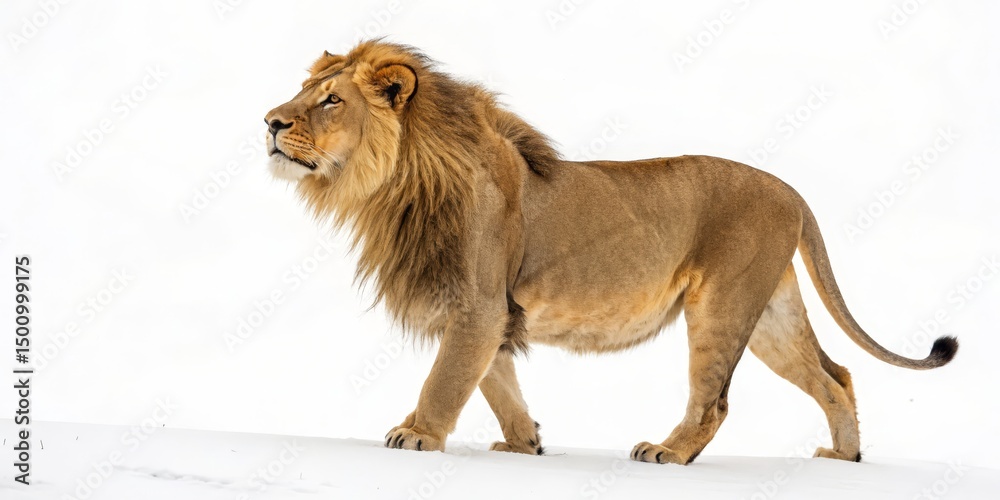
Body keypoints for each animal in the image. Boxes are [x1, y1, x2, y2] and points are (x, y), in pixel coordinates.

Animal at [263, 40, 957, 464]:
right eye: (303, 89)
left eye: (331, 100)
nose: (270, 121)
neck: (394, 184)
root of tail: (790, 191)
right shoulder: (490, 315)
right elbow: (496, 383)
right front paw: (525, 445)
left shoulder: (478, 307)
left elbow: (448, 380)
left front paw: (415, 435)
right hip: (768, 312)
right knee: (835, 375)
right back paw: (844, 457)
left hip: (723, 306)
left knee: (715, 399)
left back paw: (669, 453)